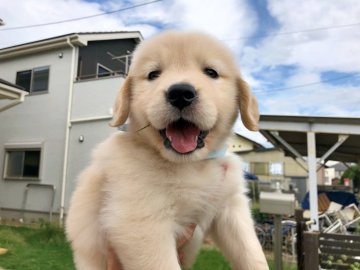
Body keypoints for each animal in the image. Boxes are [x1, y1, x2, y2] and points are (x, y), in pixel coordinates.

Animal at [66, 32, 268, 270]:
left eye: (211, 72)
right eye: (153, 74)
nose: (180, 93)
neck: (190, 164)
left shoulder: (231, 207)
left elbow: (251, 252)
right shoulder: (141, 222)